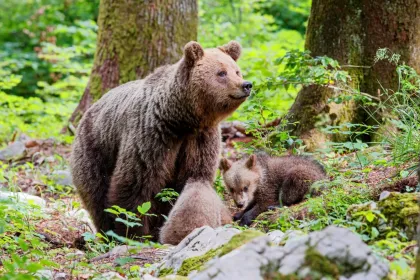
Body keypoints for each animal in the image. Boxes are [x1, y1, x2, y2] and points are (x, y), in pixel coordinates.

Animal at [70, 41, 251, 241]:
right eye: (221, 72)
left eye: (237, 71)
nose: (246, 85)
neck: (182, 119)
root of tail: (89, 111)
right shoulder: (153, 135)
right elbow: (135, 184)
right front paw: (134, 233)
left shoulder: (200, 139)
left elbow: (193, 178)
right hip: (95, 149)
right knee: (97, 194)